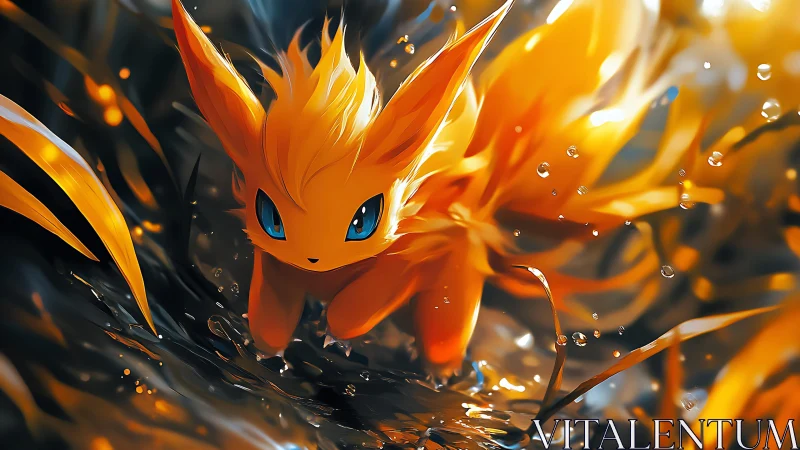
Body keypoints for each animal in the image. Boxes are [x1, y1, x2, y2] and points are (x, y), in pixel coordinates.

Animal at [1, 0, 798, 373]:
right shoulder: (274, 261)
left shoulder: (425, 246)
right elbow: (270, 307)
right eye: (268, 213)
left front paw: (340, 326)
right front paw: (268, 346)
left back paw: (437, 368)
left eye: (366, 219)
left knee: (445, 333)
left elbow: (374, 297)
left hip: (457, 285)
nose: (318, 257)